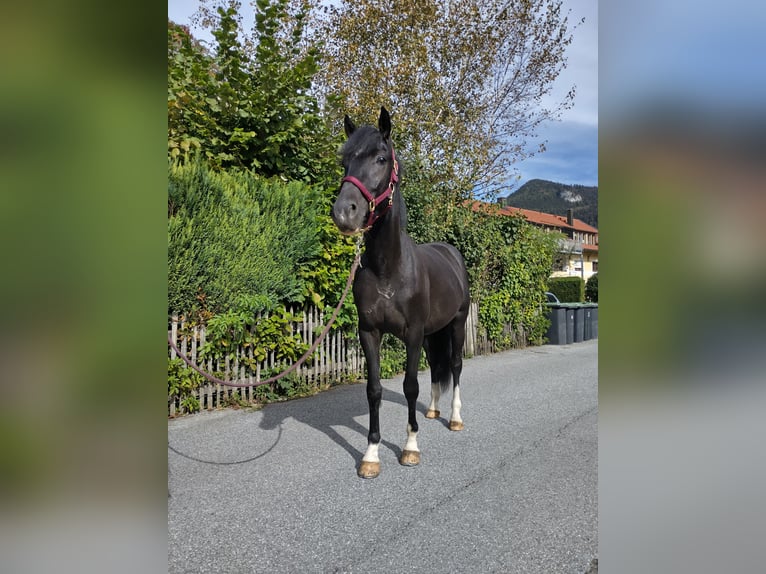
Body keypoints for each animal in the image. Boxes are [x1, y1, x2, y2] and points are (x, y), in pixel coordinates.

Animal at [332, 108, 472, 482]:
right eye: (345, 160)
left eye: (381, 158)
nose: (344, 212)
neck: (388, 268)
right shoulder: (370, 332)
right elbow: (374, 389)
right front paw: (370, 456)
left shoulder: (411, 333)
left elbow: (410, 385)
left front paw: (410, 448)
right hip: (433, 332)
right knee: (437, 366)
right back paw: (434, 412)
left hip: (456, 323)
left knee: (454, 366)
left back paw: (454, 418)